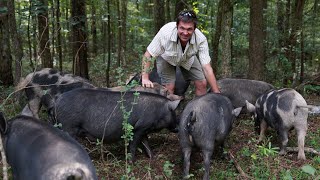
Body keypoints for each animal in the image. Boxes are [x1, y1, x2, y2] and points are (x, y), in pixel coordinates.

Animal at [50, 88, 180, 160]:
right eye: (174, 112)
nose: (178, 128)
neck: (159, 110)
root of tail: (56, 101)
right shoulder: (139, 128)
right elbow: (133, 145)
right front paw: (131, 162)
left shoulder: (143, 129)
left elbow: (146, 144)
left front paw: (153, 158)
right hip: (68, 126)